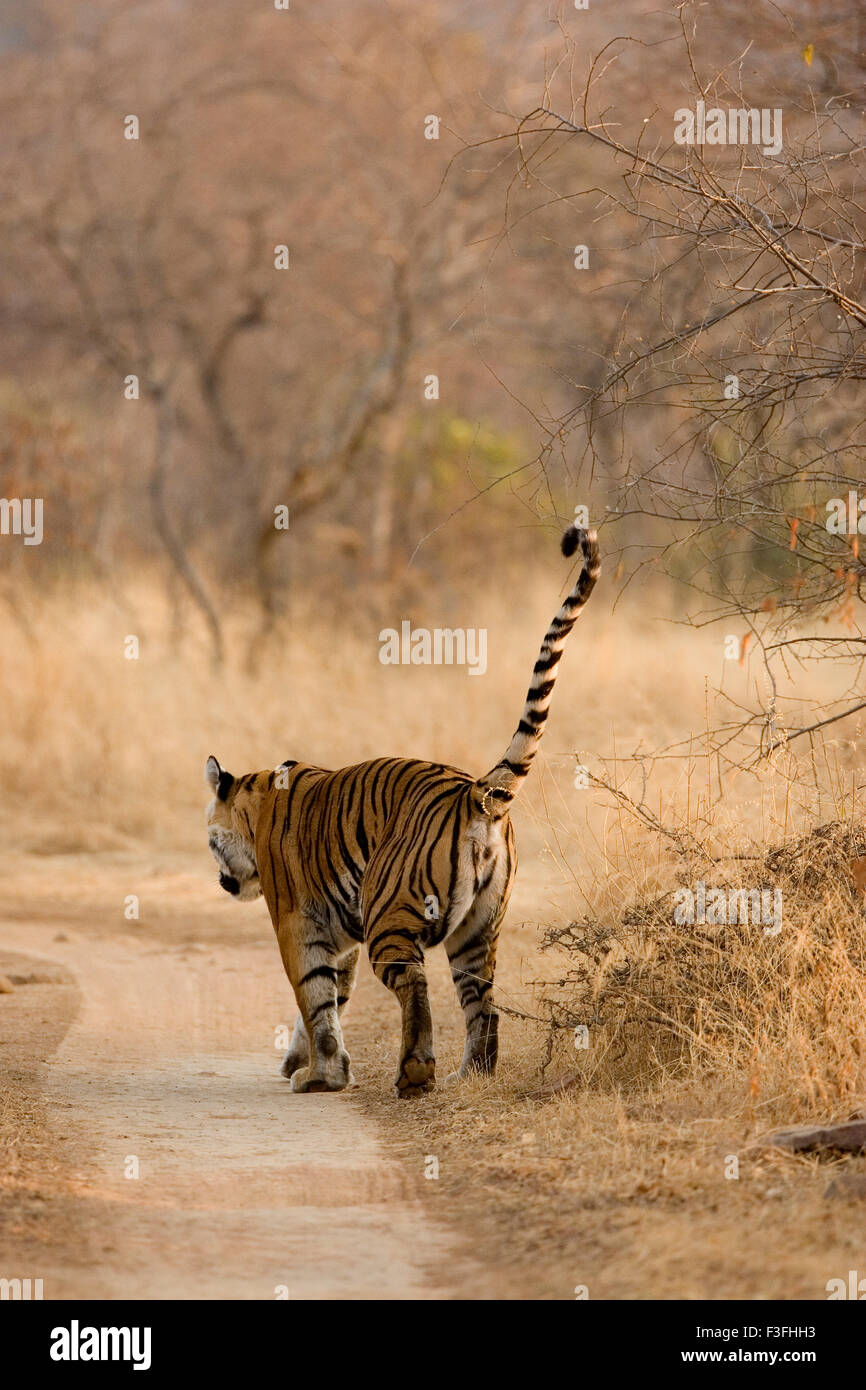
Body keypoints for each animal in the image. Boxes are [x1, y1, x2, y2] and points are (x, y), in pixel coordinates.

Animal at [205, 522, 600, 1095]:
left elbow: (313, 995)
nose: (223, 882)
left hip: (390, 912)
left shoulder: (298, 921)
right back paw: (469, 1073)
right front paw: (306, 1063)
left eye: (211, 842)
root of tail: (473, 791)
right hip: (477, 930)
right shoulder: (340, 936)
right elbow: (329, 999)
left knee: (415, 982)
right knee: (483, 1003)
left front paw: (320, 1075)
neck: (256, 803)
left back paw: (415, 1073)